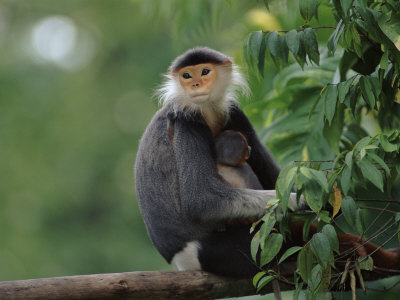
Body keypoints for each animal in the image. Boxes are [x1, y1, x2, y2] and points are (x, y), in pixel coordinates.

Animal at [135, 47, 400, 278]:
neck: (207, 110)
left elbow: (273, 176)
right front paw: (310, 201)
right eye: (187, 75)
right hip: (229, 251)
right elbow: (200, 200)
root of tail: (182, 261)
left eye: (205, 71)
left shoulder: (233, 111)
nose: (195, 85)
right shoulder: (187, 120)